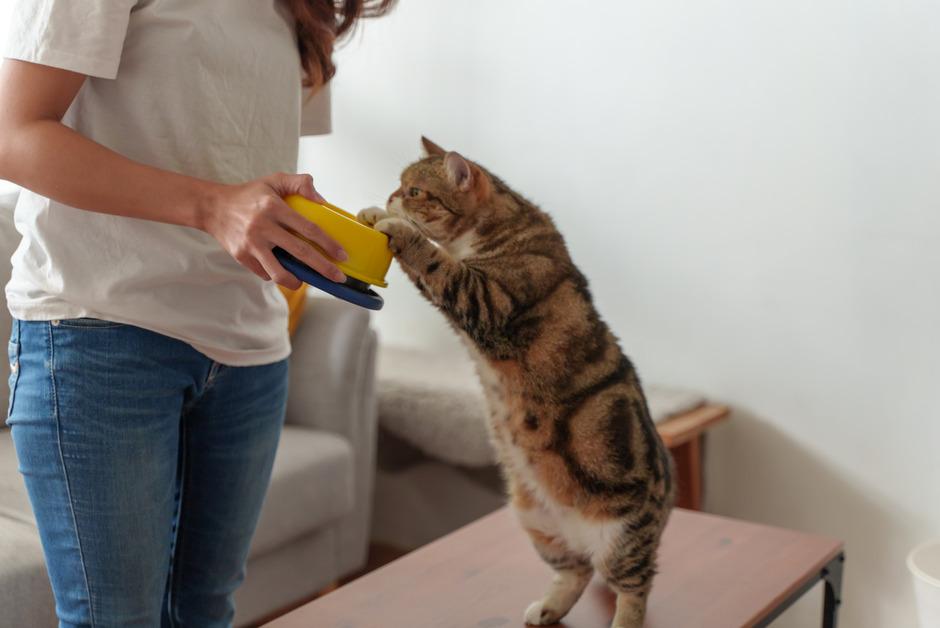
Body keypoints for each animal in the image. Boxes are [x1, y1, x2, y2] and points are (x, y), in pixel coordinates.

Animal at [360, 139, 676, 628]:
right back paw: (547, 608)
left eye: (414, 190)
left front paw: (396, 226)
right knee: (577, 571)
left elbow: (435, 262)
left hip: (623, 538)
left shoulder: (487, 300)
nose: (391, 196)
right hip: (535, 521)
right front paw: (376, 214)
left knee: (634, 586)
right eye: (400, 184)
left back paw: (623, 620)